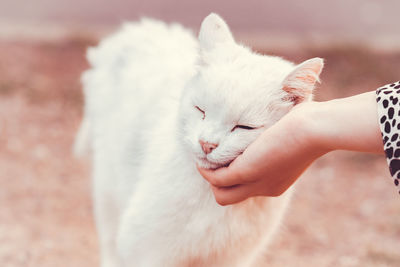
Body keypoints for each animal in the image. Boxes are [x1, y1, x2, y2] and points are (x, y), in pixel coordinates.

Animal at [76, 13, 324, 267]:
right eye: (200, 110)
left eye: (244, 127)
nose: (207, 143)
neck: (211, 202)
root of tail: (134, 30)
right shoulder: (147, 251)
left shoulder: (232, 259)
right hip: (108, 194)